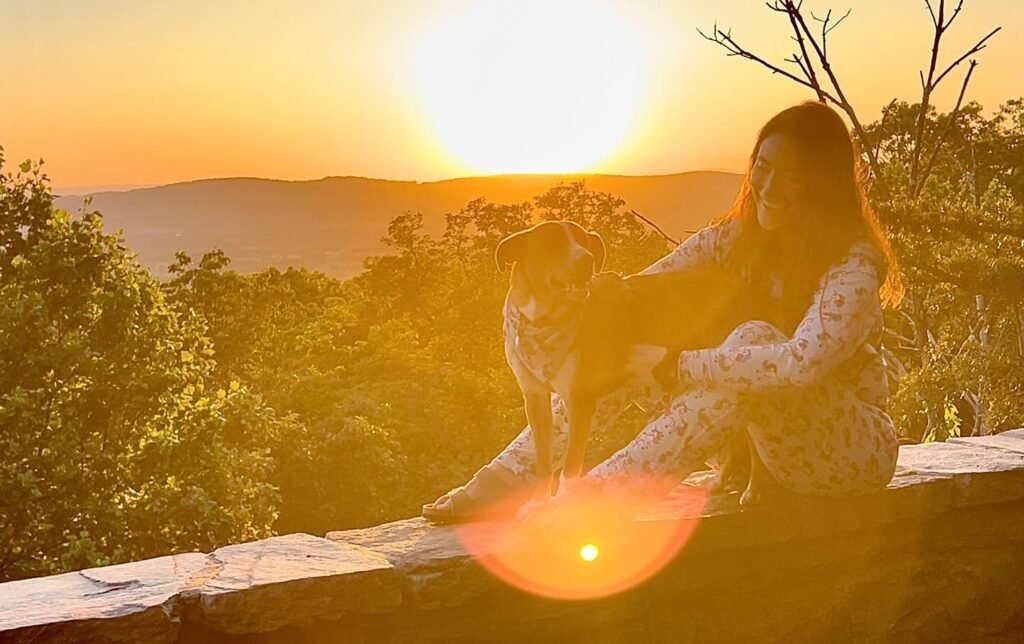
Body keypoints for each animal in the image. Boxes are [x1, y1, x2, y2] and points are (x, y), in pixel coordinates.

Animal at [495, 221, 774, 507]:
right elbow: (542, 461)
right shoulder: (535, 399)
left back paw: (755, 488)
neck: (544, 323)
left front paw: (563, 503)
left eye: (584, 240)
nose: (587, 260)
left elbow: (570, 467)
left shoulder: (579, 400)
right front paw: (538, 502)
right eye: (553, 242)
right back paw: (719, 482)